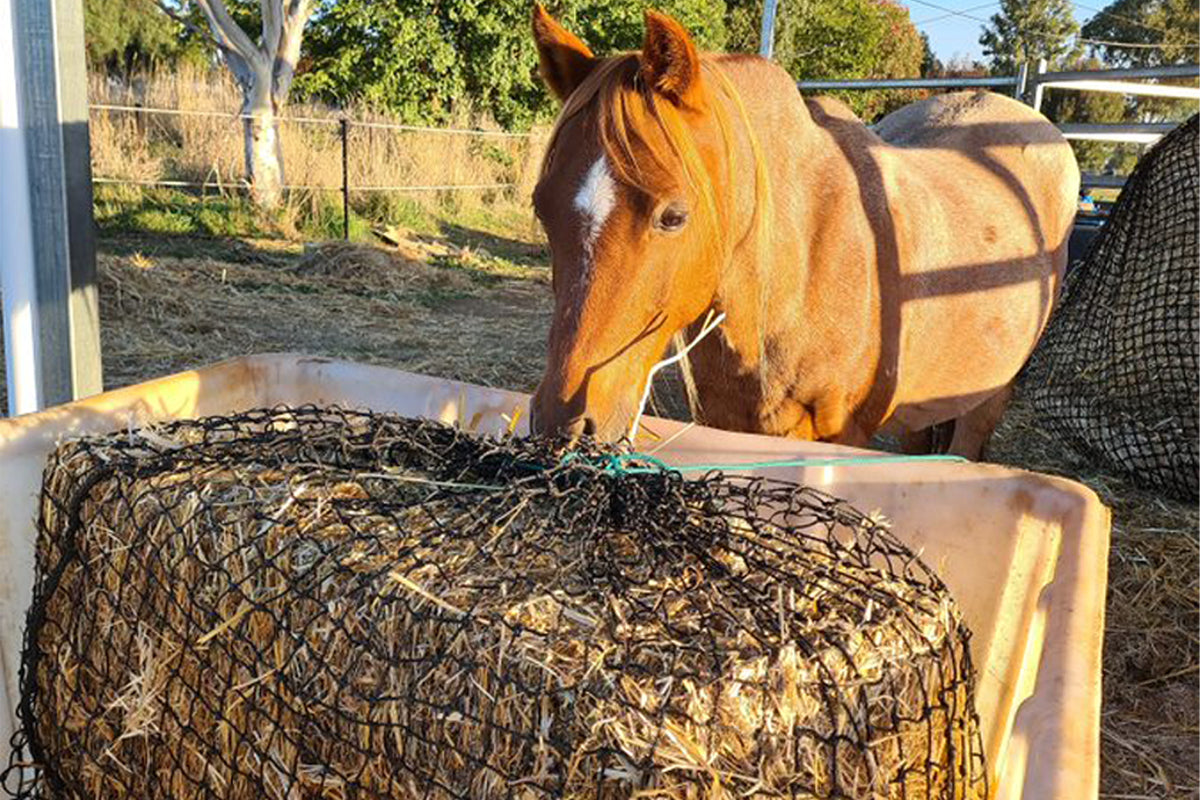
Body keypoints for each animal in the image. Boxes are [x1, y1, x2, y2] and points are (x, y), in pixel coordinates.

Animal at [525, 4, 1080, 455]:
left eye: (673, 216)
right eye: (541, 208)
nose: (562, 424)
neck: (795, 271)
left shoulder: (843, 437)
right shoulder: (727, 424)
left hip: (990, 393)